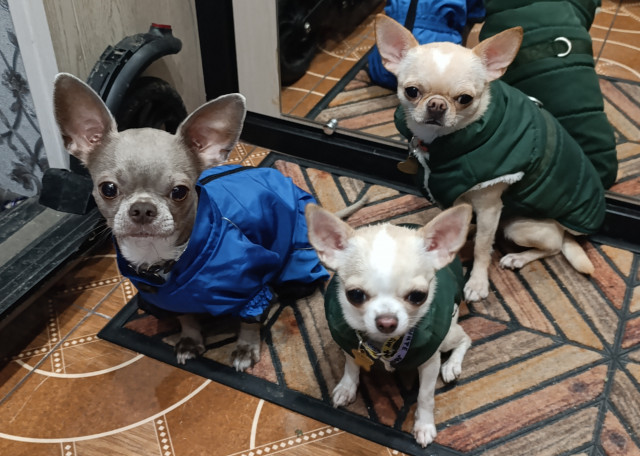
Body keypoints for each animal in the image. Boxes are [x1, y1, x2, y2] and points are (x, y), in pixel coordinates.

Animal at [53, 73, 330, 370]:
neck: (161, 259)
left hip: (296, 271)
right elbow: (186, 317)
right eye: (108, 189)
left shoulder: (252, 289)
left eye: (179, 192)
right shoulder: (173, 298)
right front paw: (190, 340)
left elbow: (249, 322)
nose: (142, 208)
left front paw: (245, 349)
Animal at [305, 203, 473, 447]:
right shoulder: (350, 343)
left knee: (465, 338)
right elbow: (351, 365)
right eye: (355, 295)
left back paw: (452, 365)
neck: (384, 344)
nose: (386, 321)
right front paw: (347, 386)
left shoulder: (430, 361)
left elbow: (425, 396)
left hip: (447, 335)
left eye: (418, 296)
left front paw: (424, 425)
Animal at [375, 15, 606, 302]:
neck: (439, 142)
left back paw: (517, 258)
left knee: (550, 248)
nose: (437, 105)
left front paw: (477, 283)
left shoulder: (490, 206)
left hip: (519, 226)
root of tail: (566, 232)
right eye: (412, 91)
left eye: (465, 99)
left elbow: (482, 249)